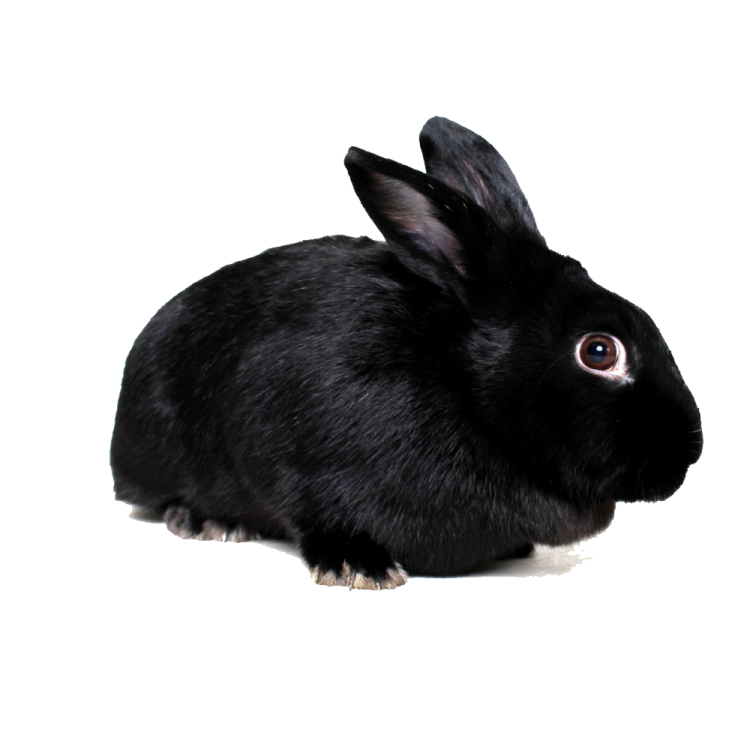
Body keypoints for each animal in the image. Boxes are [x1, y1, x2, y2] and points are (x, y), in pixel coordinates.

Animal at [109, 115, 703, 589]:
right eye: (599, 352)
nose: (689, 450)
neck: (464, 388)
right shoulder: (280, 434)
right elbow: (311, 510)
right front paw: (358, 567)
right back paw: (203, 519)